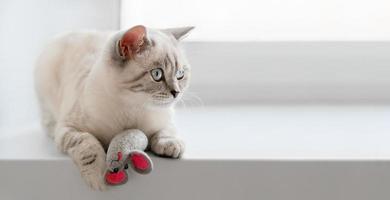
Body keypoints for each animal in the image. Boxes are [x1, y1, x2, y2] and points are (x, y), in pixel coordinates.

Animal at [34, 25, 193, 190]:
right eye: (157, 74)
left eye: (180, 74)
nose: (176, 92)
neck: (132, 108)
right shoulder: (69, 129)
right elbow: (88, 144)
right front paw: (99, 175)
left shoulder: (166, 119)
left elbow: (167, 131)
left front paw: (171, 145)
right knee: (48, 122)